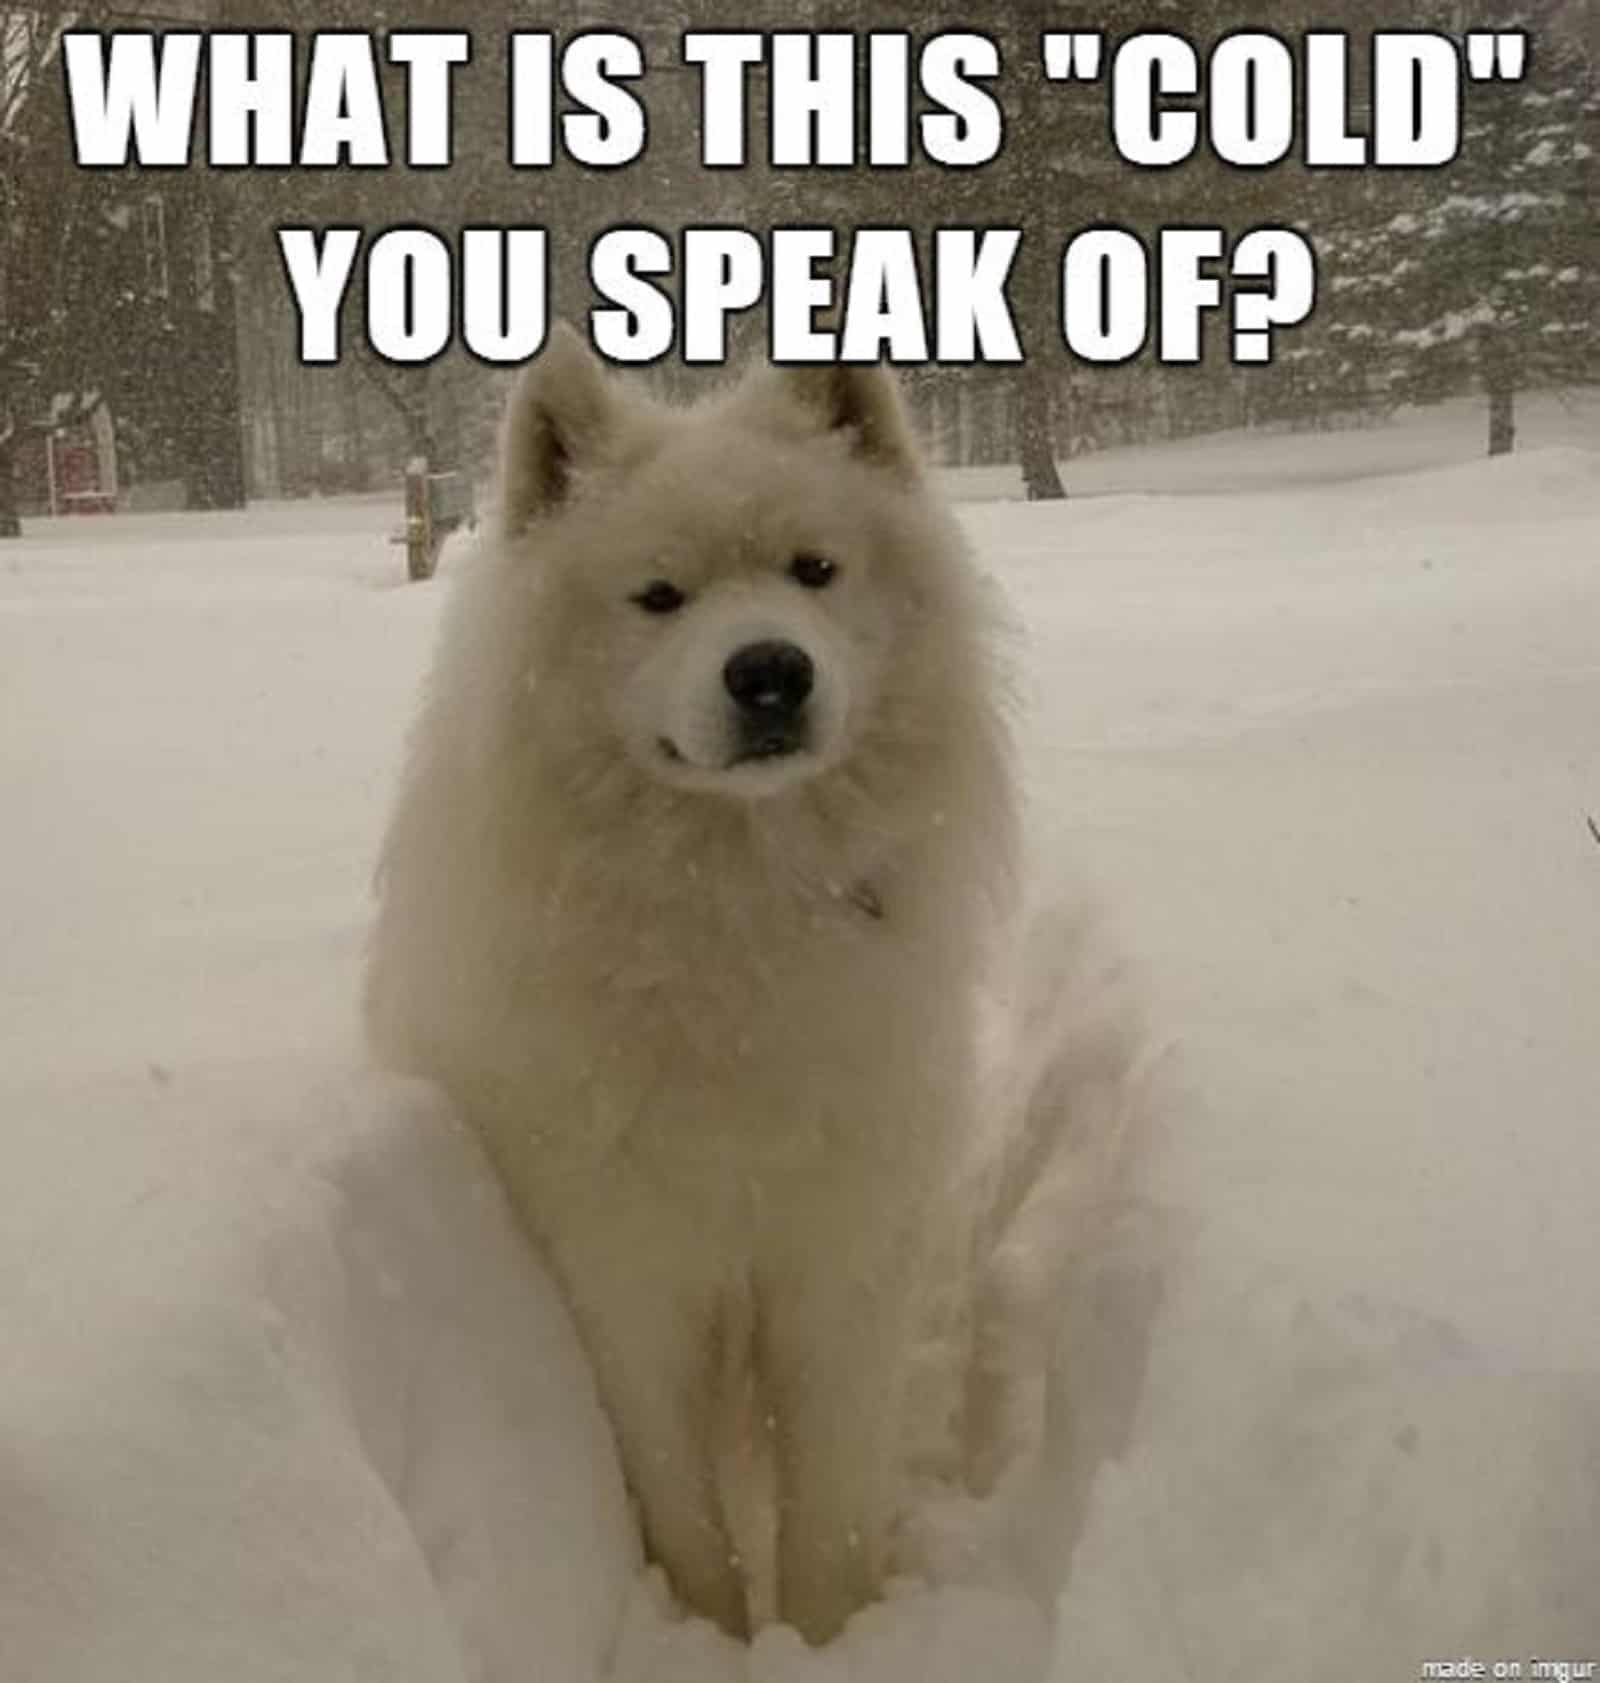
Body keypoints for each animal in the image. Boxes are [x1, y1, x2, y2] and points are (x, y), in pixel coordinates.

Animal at [368, 331, 1144, 1642]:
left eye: (813, 570)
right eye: (658, 596)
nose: (771, 672)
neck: (740, 902)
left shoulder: (839, 1255)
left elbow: (830, 1493)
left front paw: (830, 1639)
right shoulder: (628, 1273)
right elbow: (683, 1508)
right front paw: (725, 1636)